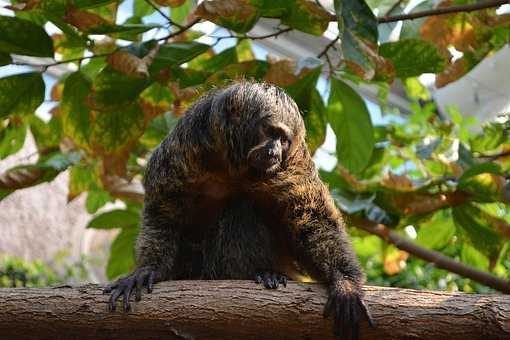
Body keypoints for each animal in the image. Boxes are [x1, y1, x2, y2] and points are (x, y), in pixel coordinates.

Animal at [104, 81, 374, 338]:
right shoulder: (182, 147)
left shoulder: (295, 164)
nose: (274, 152)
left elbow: (312, 220)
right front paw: (147, 269)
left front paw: (345, 283)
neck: (234, 167)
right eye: (271, 132)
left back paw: (265, 273)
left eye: (284, 141)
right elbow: (163, 210)